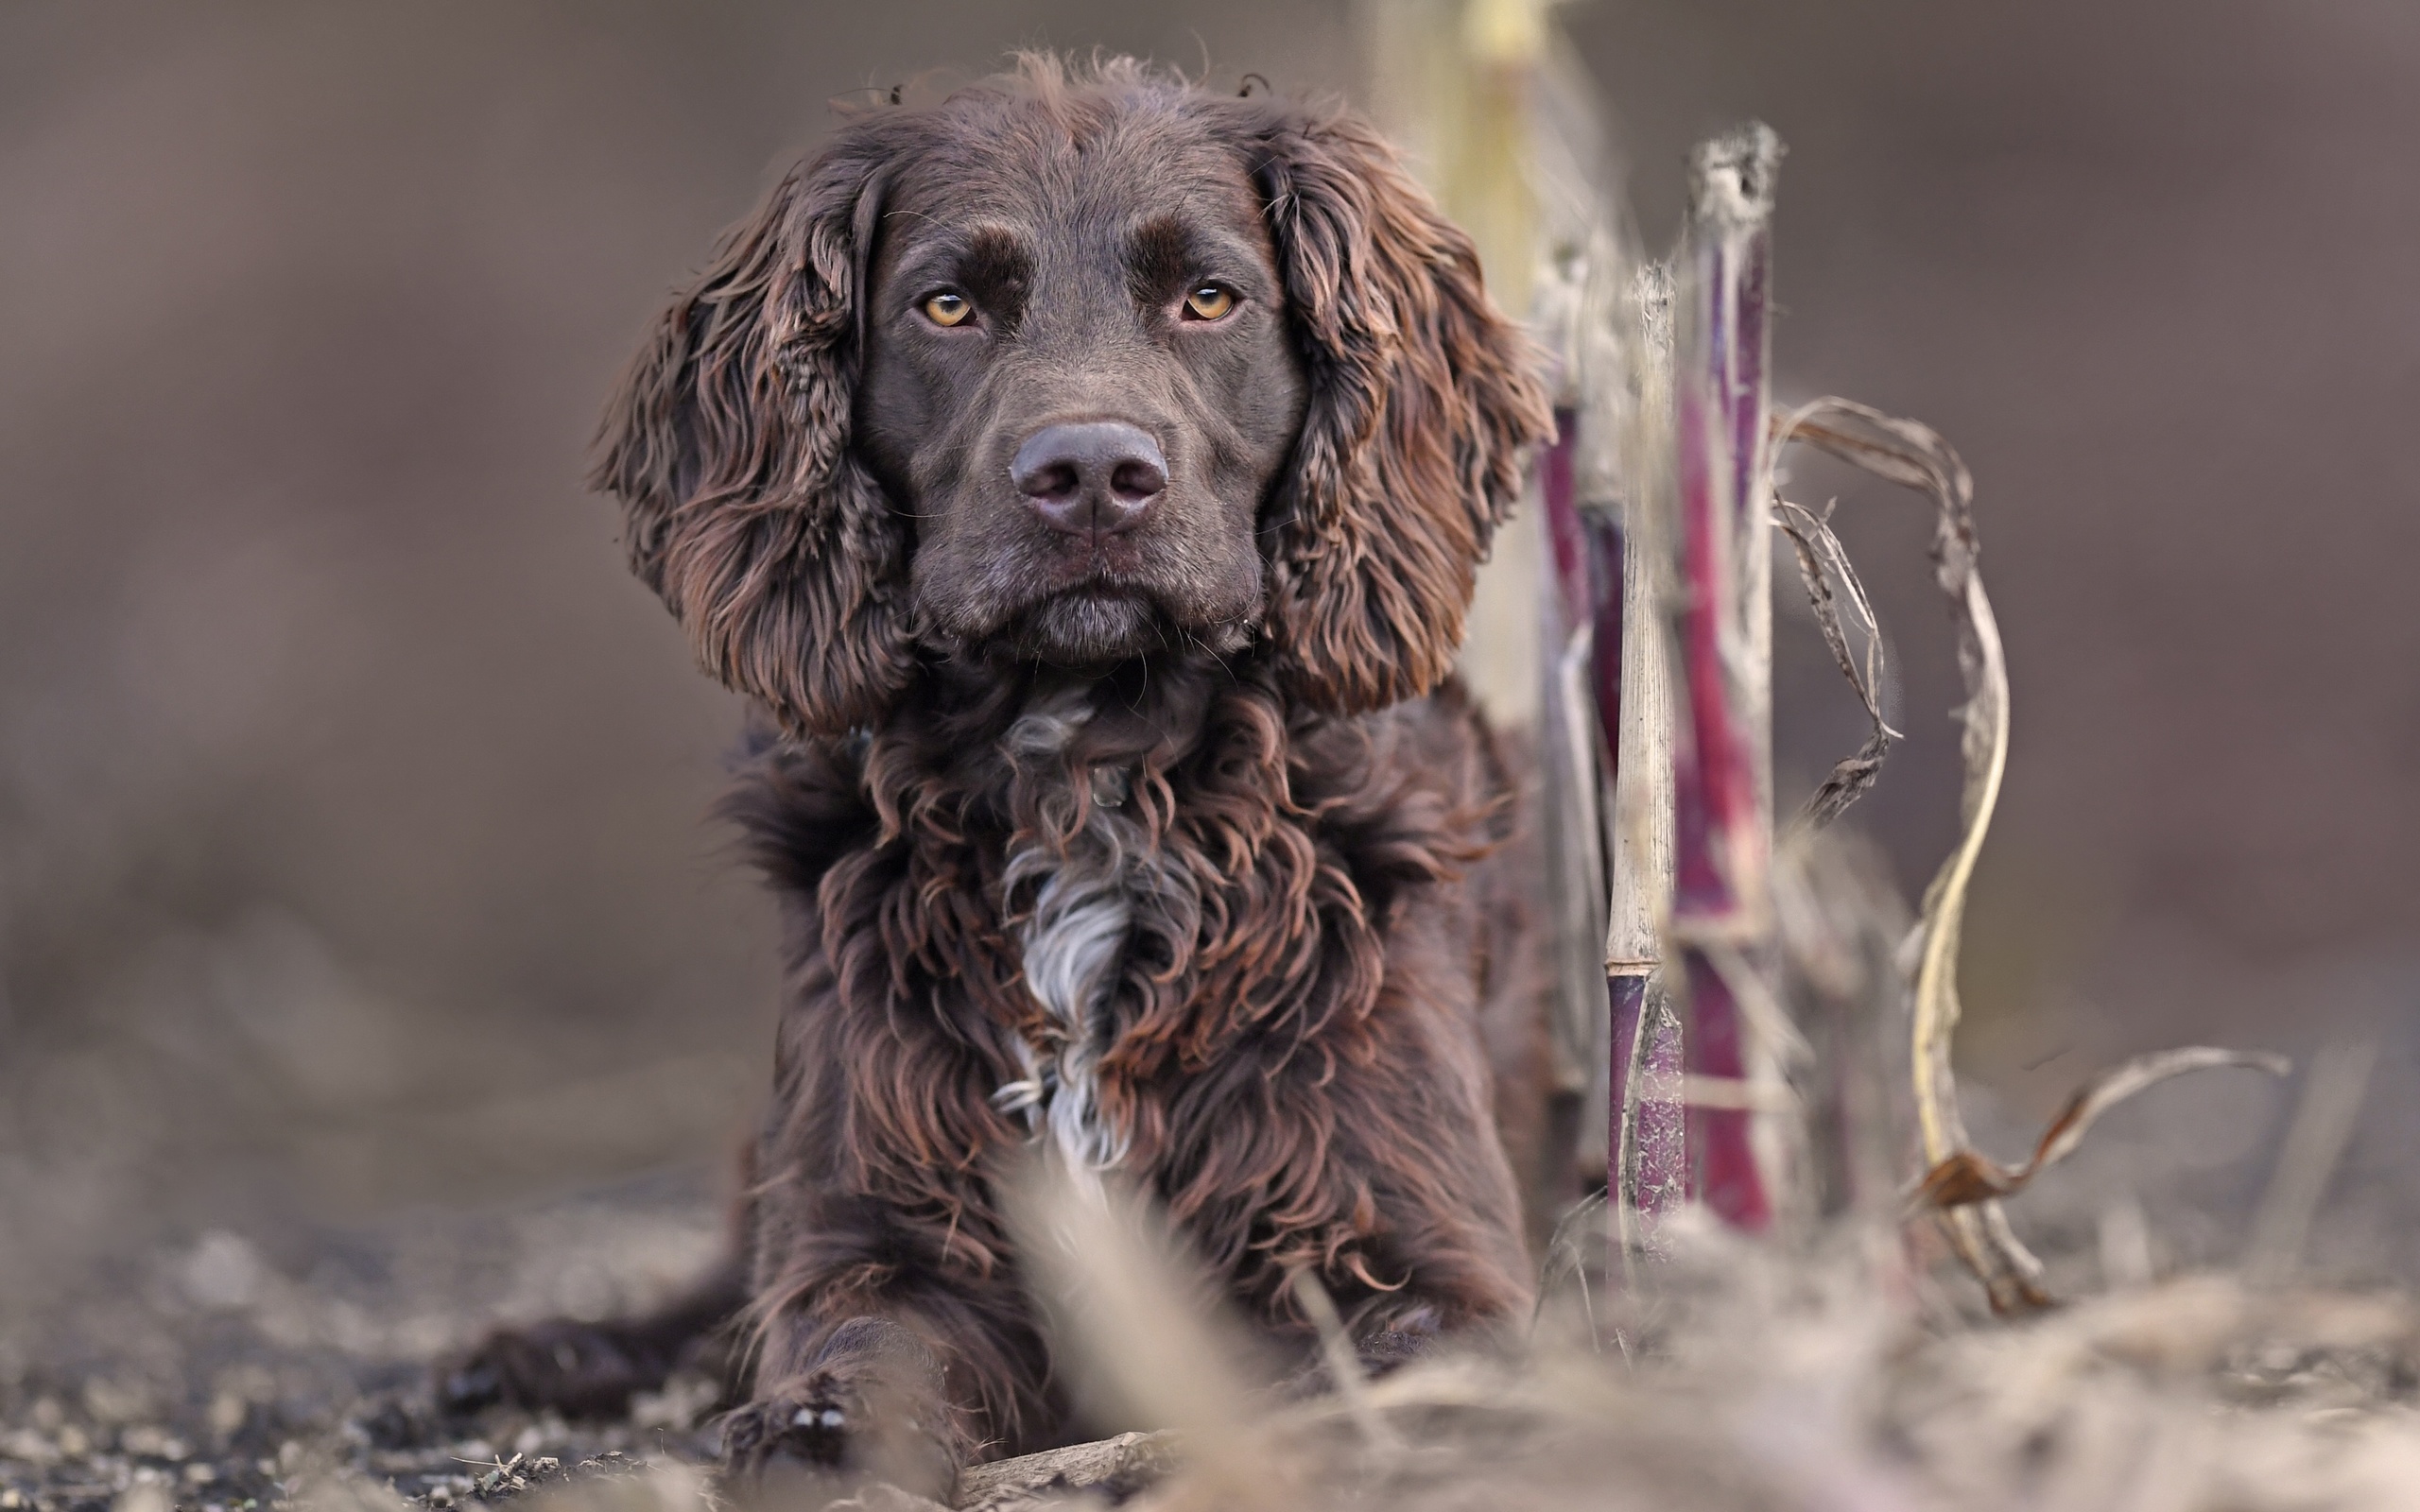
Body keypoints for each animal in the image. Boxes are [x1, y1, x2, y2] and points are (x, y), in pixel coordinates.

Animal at [445, 53, 1558, 1489]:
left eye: (1209, 297)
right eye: (949, 304)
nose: (1089, 473)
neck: (1086, 768)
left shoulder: (1425, 1259)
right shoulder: (882, 1227)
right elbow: (852, 1351)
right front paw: (810, 1433)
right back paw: (555, 1350)